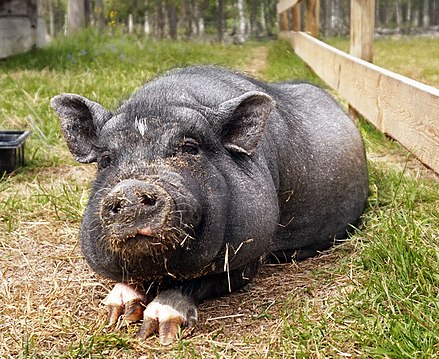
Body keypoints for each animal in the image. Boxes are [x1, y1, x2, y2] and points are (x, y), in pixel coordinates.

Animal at [49, 65, 370, 346]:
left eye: (190, 147)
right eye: (105, 159)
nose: (129, 189)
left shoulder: (246, 259)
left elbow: (198, 281)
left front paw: (156, 330)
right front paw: (118, 316)